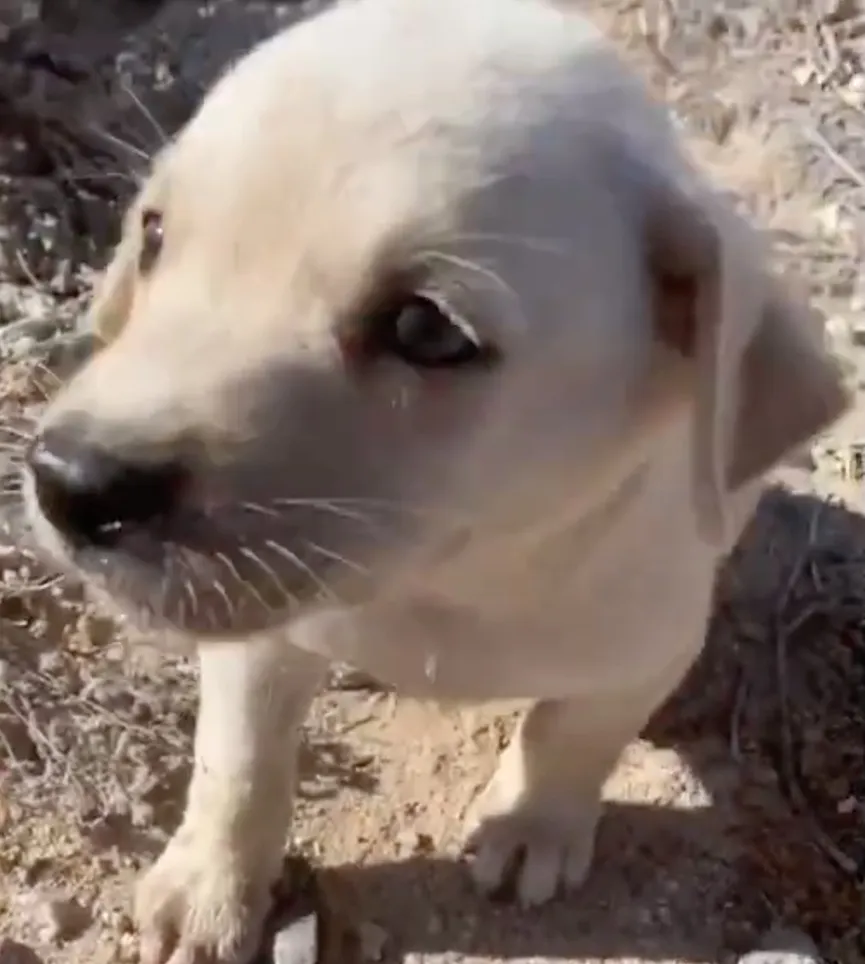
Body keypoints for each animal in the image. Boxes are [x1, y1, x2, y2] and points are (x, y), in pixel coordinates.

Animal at [15, 1, 852, 964]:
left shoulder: (647, 649)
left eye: (425, 329)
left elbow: (571, 734)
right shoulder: (256, 641)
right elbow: (240, 764)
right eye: (153, 235)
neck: (445, 584)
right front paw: (208, 890)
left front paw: (531, 830)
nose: (72, 484)